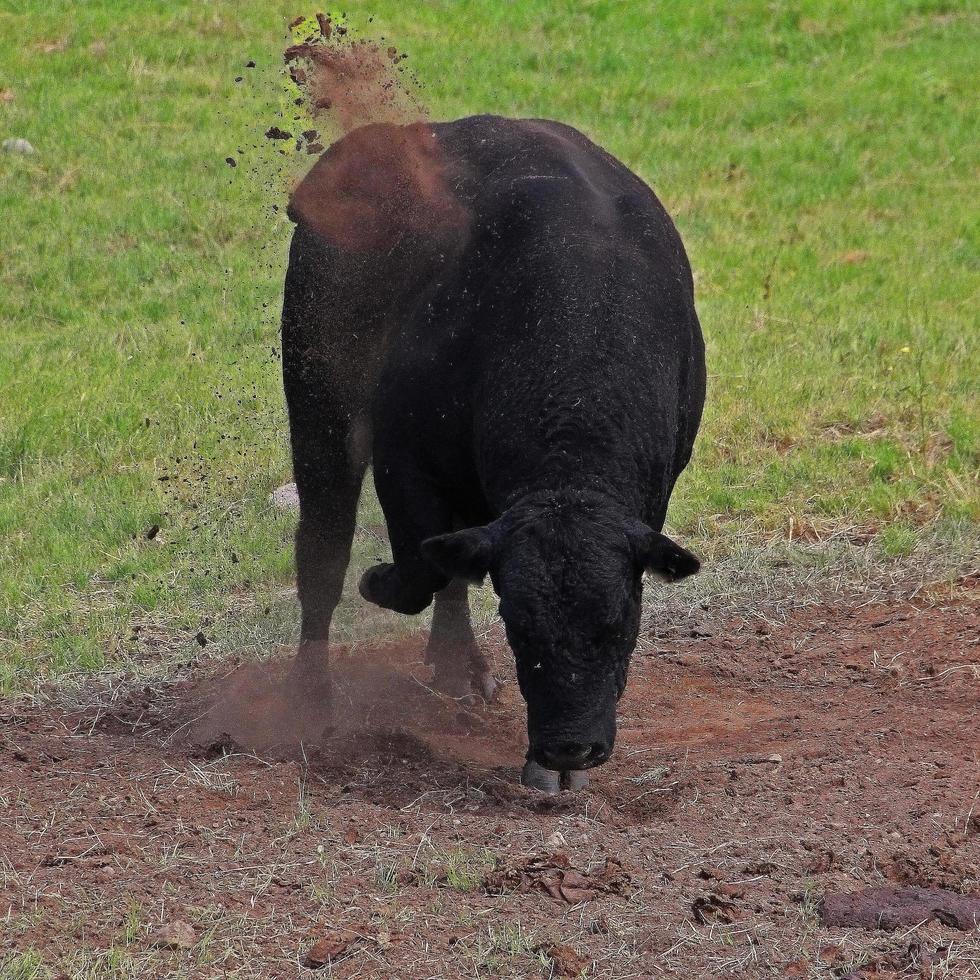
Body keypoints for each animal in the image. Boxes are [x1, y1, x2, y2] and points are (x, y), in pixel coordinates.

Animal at [278, 115, 704, 792]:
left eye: (621, 625)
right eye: (519, 625)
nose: (569, 748)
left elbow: (449, 562)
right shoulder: (403, 456)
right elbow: (416, 572)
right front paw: (378, 582)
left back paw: (458, 668)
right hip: (320, 405)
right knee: (325, 547)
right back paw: (310, 695)